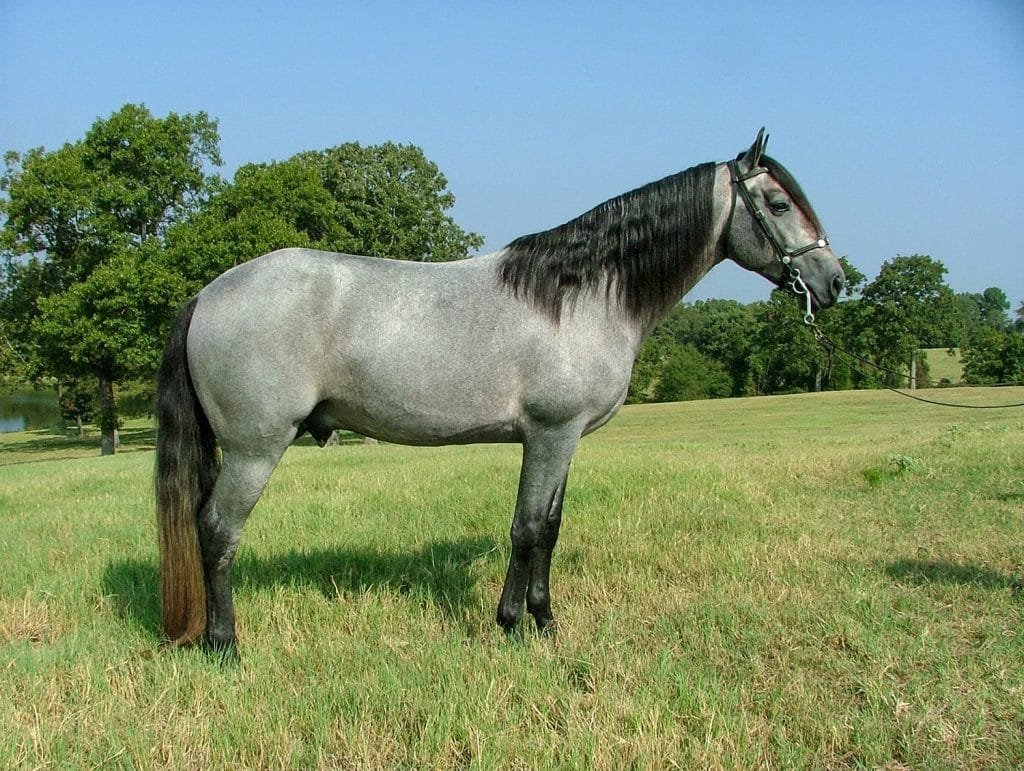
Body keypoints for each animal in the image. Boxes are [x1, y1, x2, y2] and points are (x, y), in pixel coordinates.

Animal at [155, 129, 845, 655]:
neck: (579, 297)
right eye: (778, 205)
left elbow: (549, 527)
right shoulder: (550, 433)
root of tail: (208, 293)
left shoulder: (562, 440)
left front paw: (536, 620)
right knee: (216, 531)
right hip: (255, 450)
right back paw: (225, 644)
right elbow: (528, 529)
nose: (834, 281)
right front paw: (519, 625)